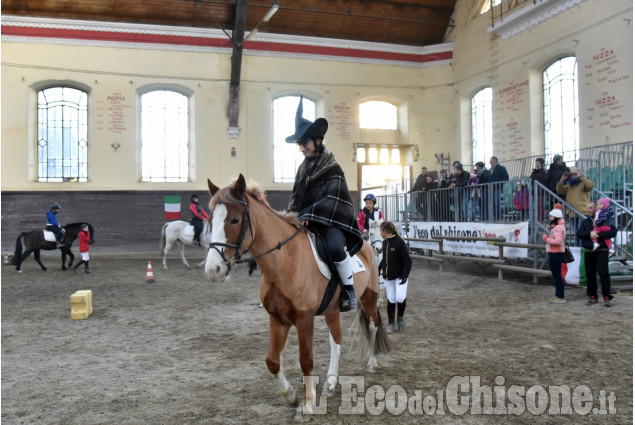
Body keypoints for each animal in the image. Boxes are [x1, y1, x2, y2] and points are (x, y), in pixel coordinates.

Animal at [205, 176, 392, 420]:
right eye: (210, 220)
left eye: (235, 220)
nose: (213, 270)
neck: (284, 262)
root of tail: (368, 247)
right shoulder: (277, 319)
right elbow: (272, 361)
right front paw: (291, 396)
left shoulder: (304, 319)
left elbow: (306, 360)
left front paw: (307, 404)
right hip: (333, 309)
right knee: (336, 339)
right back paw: (331, 382)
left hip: (369, 298)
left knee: (372, 326)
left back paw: (372, 362)